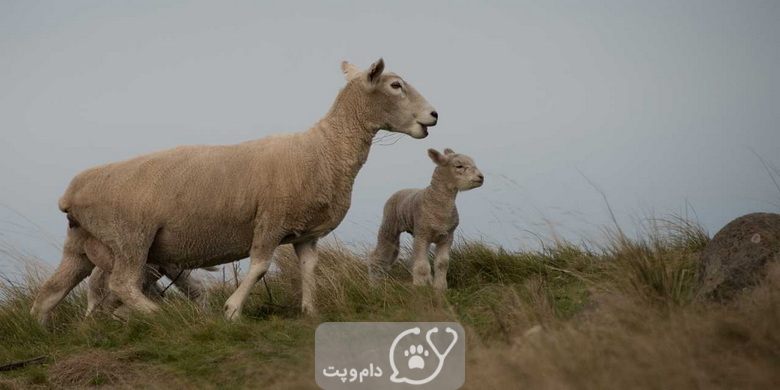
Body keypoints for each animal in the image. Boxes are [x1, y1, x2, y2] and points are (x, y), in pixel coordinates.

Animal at [30, 58, 436, 322]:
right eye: (395, 85)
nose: (434, 115)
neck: (323, 148)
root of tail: (71, 192)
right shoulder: (270, 220)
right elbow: (259, 267)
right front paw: (232, 310)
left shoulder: (306, 233)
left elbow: (309, 270)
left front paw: (310, 310)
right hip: (132, 236)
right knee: (121, 284)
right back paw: (162, 316)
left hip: (82, 243)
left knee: (50, 292)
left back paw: (43, 332)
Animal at [366, 149, 482, 290]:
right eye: (459, 166)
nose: (481, 177)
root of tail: (403, 189)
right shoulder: (422, 235)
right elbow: (422, 266)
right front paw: (420, 287)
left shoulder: (447, 236)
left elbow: (442, 263)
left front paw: (440, 287)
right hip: (389, 225)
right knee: (378, 257)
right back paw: (374, 285)